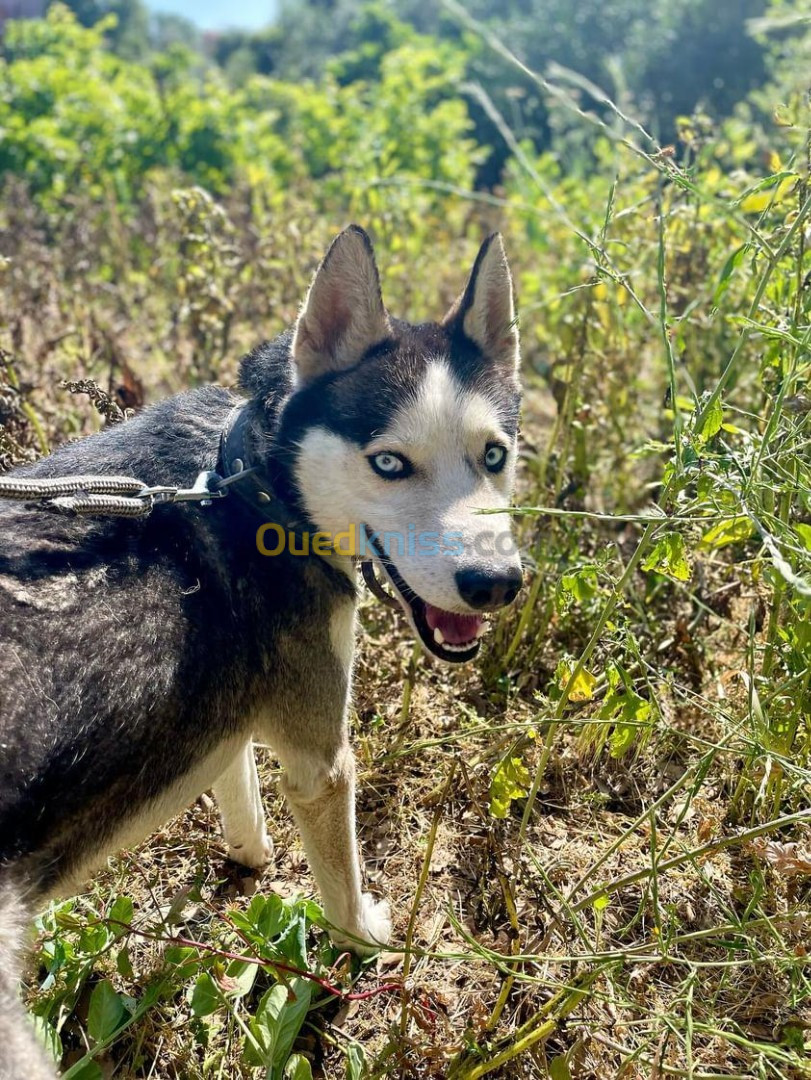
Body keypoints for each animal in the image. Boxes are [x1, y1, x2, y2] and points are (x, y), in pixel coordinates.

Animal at [0, 225, 522, 1071]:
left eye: (495, 455)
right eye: (388, 463)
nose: (495, 584)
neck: (254, 477)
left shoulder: (223, 719)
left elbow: (237, 791)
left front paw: (250, 859)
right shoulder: (322, 767)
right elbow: (342, 897)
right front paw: (366, 943)